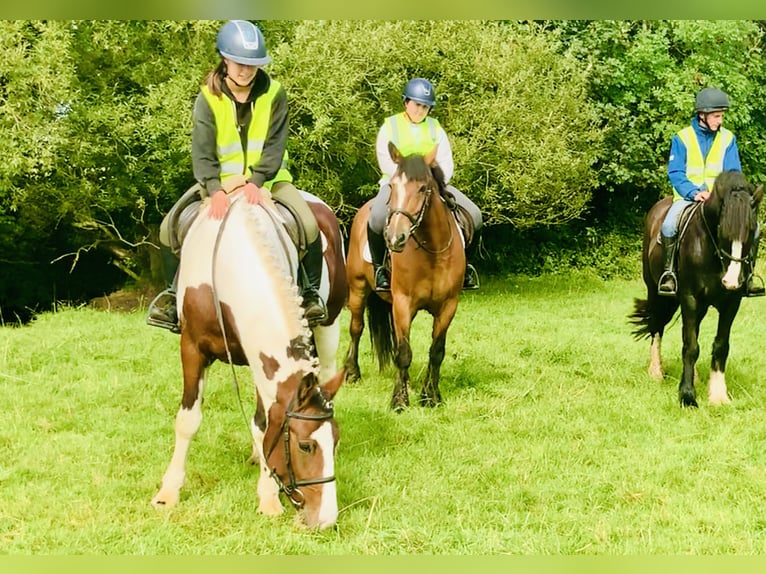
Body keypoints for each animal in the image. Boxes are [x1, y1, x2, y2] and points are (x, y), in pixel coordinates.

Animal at [152, 190, 348, 532]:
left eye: (334, 441)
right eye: (305, 446)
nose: (325, 519)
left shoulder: (261, 359)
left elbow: (263, 424)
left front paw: (268, 497)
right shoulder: (191, 348)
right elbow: (188, 420)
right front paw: (168, 492)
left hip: (328, 326)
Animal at [344, 144, 464, 414]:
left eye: (422, 188)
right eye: (392, 186)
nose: (394, 237)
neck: (433, 252)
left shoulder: (448, 306)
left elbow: (436, 351)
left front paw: (431, 396)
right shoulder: (402, 303)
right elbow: (403, 352)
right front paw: (399, 400)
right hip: (357, 289)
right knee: (356, 328)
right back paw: (352, 373)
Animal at [632, 171, 764, 410]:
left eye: (751, 231)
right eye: (722, 230)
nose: (731, 281)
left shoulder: (732, 302)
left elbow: (720, 345)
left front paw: (718, 395)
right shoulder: (690, 298)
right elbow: (691, 346)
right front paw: (687, 396)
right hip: (656, 292)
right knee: (657, 326)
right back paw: (656, 371)